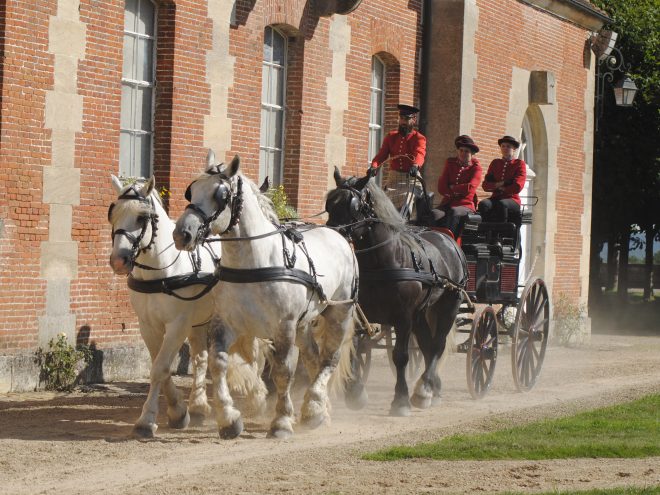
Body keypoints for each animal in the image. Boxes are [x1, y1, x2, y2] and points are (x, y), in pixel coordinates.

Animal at [109, 177, 270, 438]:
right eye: (112, 214)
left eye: (142, 218)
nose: (118, 260)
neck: (162, 272)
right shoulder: (148, 326)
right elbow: (160, 367)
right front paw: (178, 411)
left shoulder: (178, 324)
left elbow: (161, 368)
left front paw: (146, 420)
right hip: (201, 322)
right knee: (200, 359)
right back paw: (198, 407)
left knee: (255, 355)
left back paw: (257, 396)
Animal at [170, 153, 356, 440]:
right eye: (192, 190)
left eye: (221, 195)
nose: (182, 233)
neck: (254, 263)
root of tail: (338, 234)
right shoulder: (228, 323)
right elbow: (218, 363)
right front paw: (229, 418)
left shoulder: (283, 327)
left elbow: (283, 372)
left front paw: (281, 421)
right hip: (303, 324)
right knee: (313, 358)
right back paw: (319, 409)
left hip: (339, 312)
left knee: (329, 359)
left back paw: (314, 406)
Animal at [328, 169, 466, 416]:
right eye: (329, 203)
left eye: (352, 206)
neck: (381, 262)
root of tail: (447, 238)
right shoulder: (360, 314)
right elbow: (354, 350)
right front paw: (355, 392)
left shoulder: (403, 317)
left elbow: (400, 356)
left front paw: (400, 400)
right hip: (420, 314)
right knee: (427, 345)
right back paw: (433, 389)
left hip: (449, 305)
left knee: (437, 345)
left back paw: (424, 390)